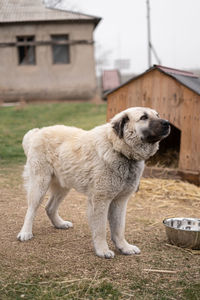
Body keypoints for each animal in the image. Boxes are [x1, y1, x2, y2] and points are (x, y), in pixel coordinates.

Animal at [17, 107, 170, 258]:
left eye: (157, 115)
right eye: (144, 117)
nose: (168, 123)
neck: (117, 148)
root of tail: (37, 132)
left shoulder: (120, 201)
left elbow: (119, 228)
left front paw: (124, 247)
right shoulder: (99, 200)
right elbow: (101, 229)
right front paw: (102, 250)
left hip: (63, 187)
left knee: (49, 207)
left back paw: (59, 224)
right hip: (39, 184)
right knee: (31, 209)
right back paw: (25, 233)